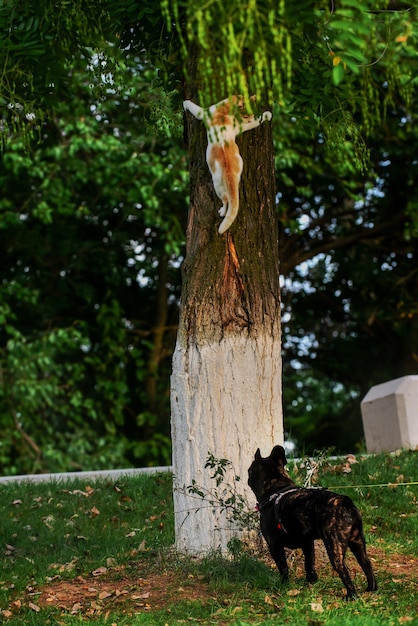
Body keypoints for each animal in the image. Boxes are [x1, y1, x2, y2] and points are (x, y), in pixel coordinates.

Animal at [184, 96, 274, 233]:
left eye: (250, 114)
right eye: (246, 116)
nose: (250, 118)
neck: (228, 108)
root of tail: (229, 170)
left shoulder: (203, 112)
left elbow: (193, 106)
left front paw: (185, 103)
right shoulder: (241, 125)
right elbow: (255, 122)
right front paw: (266, 115)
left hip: (217, 184)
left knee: (226, 199)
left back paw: (222, 211)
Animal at [247, 442, 378, 596]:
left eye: (250, 470)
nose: (247, 475)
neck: (275, 488)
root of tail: (344, 503)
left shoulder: (274, 545)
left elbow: (283, 566)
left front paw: (284, 584)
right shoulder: (307, 542)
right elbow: (309, 562)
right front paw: (311, 581)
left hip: (334, 545)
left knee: (342, 568)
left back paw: (351, 595)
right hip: (358, 542)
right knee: (366, 563)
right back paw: (371, 589)